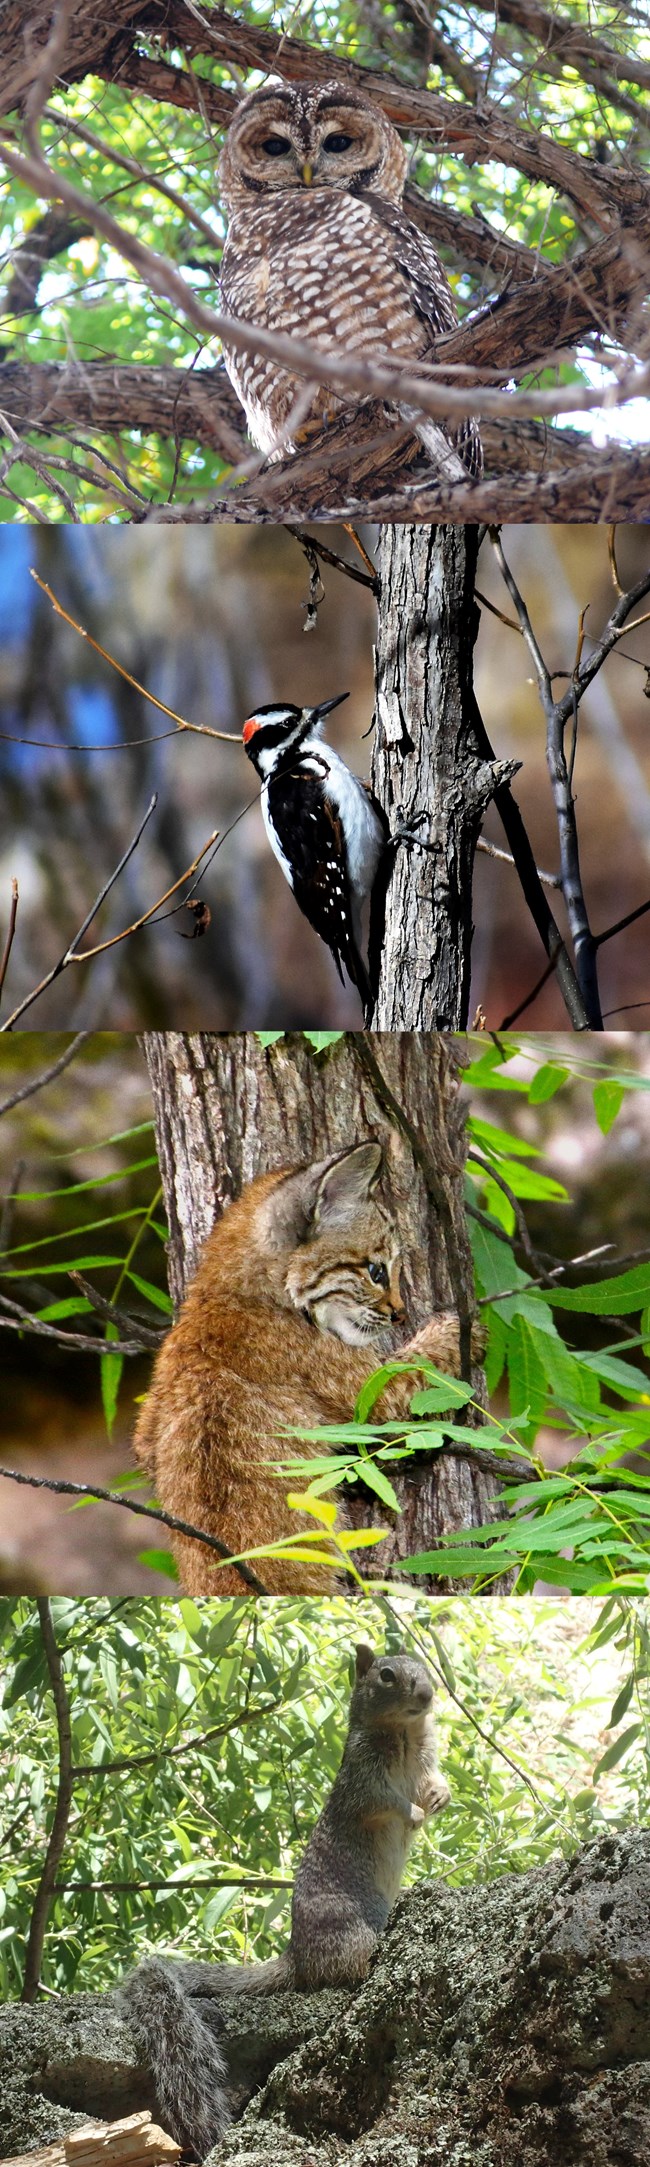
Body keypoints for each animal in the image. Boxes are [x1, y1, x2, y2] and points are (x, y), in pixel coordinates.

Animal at [119, 1642, 449, 2159]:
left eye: (425, 1665)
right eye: (386, 1675)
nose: (428, 1694)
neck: (402, 1733)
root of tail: (298, 1957)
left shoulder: (424, 1758)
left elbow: (432, 1779)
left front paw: (439, 1798)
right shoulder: (363, 1780)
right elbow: (386, 1802)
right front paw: (414, 1813)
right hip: (355, 1926)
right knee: (348, 1968)